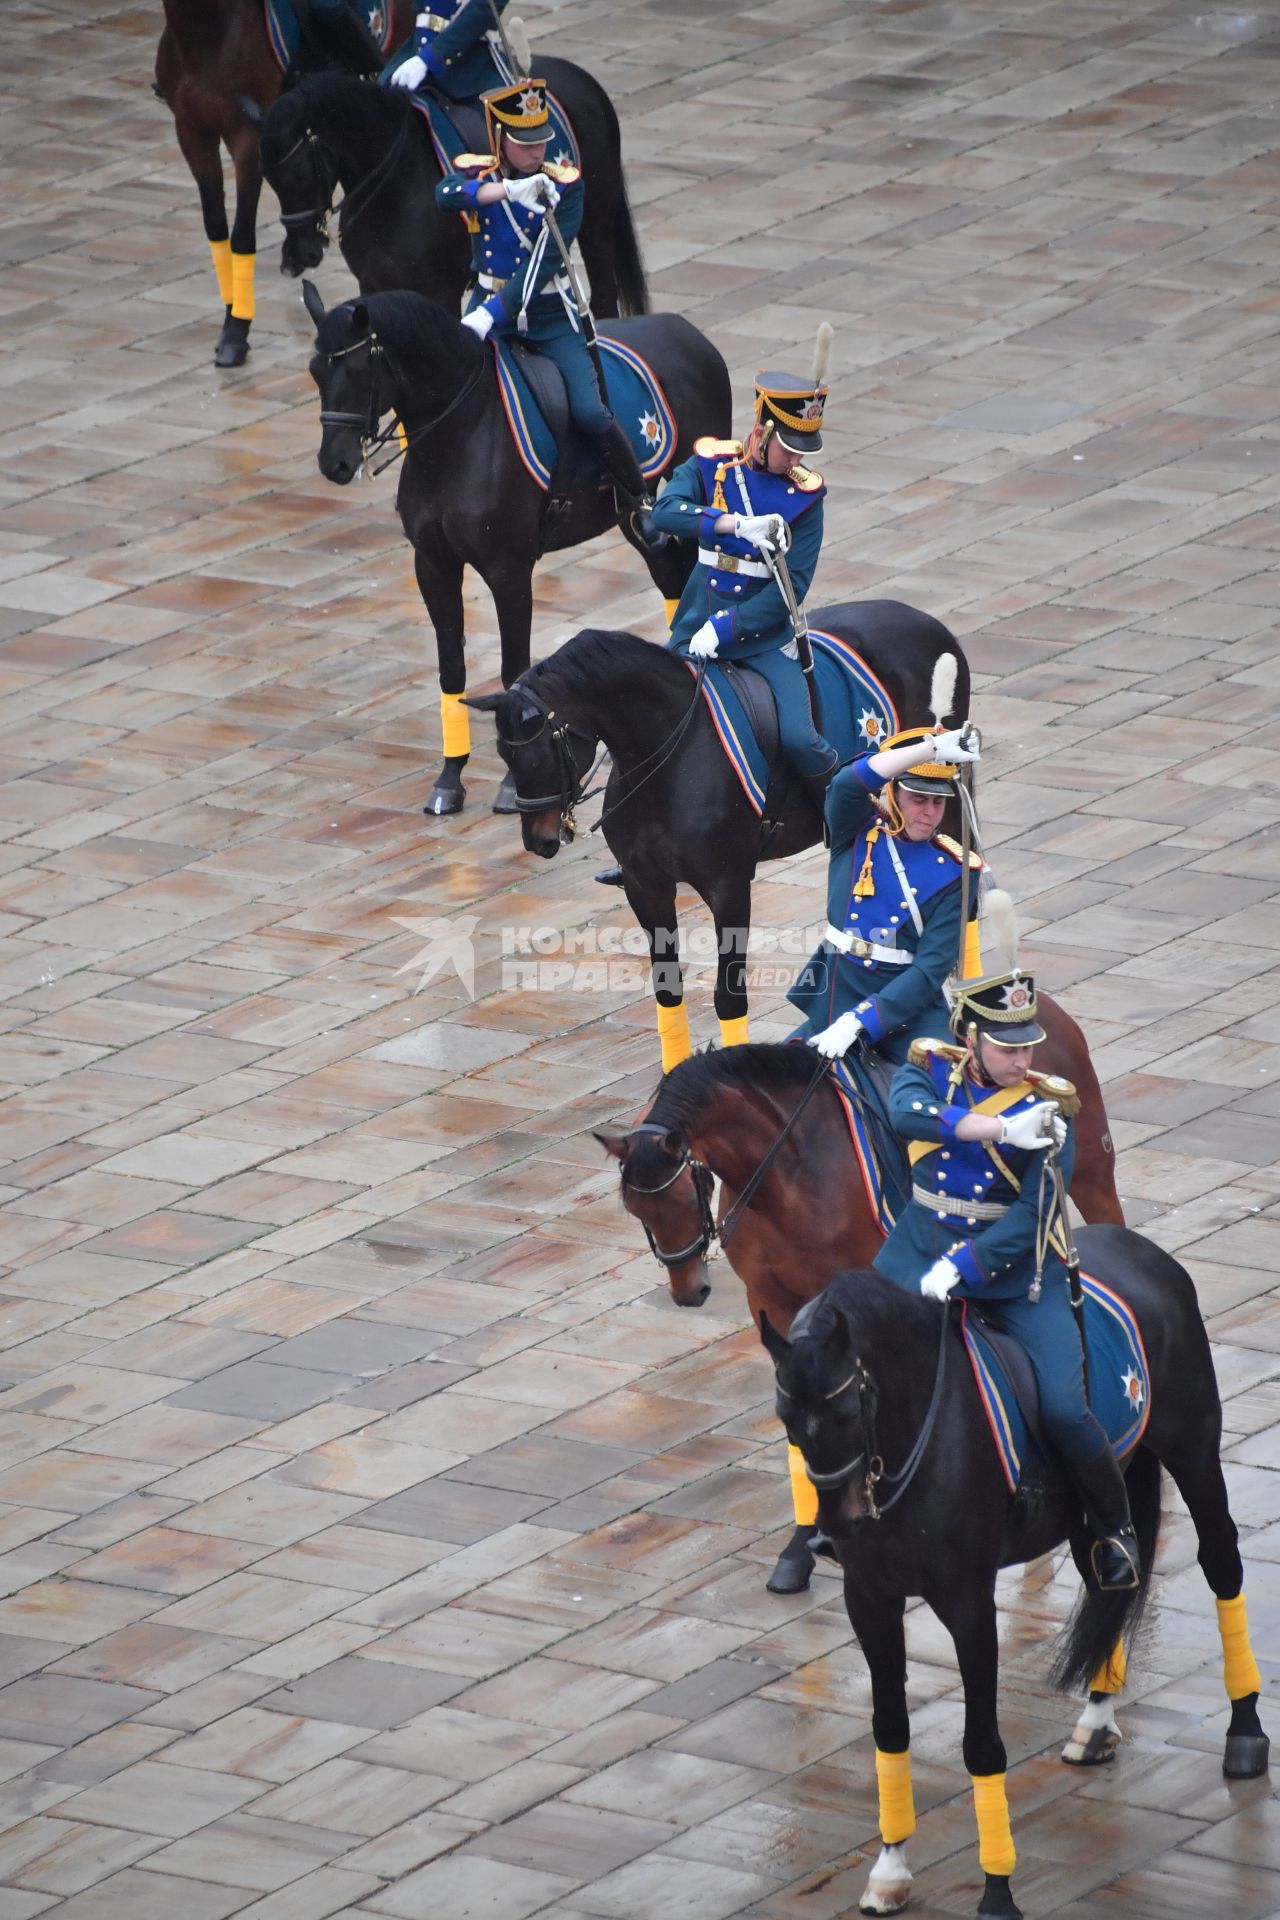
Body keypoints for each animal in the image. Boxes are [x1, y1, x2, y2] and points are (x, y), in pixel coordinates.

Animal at [153, 0, 416, 366]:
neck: (206, 37)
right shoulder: (191, 131)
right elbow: (216, 227)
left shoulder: (247, 140)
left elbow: (242, 235)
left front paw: (236, 329)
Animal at [259, 72, 644, 322]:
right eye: (268, 179)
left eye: (296, 172)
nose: (297, 254)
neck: (392, 184)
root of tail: (586, 82)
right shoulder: (373, 285)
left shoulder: (440, 290)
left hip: (595, 227)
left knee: (604, 299)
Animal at [303, 288, 729, 814]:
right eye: (315, 371)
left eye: (359, 369)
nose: (334, 463)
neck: (459, 434)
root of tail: (687, 332)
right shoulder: (433, 564)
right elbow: (452, 667)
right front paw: (450, 777)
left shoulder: (508, 570)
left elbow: (513, 668)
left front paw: (512, 780)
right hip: (637, 519)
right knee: (671, 575)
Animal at [466, 614, 967, 1059]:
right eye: (501, 753)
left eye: (540, 751)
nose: (538, 840)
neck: (666, 756)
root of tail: (919, 618)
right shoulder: (645, 886)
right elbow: (667, 990)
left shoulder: (728, 887)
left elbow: (729, 996)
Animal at [759, 1259, 1274, 1920]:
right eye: (786, 1419)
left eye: (851, 1408)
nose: (838, 1525)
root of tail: (1145, 1253)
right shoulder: (869, 1599)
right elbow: (890, 1727)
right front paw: (891, 1868)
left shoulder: (969, 1604)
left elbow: (981, 1744)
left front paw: (997, 1890)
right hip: (1089, 1516)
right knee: (1105, 1587)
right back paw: (1096, 1720)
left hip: (1192, 1451)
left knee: (1222, 1566)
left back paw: (1245, 1730)